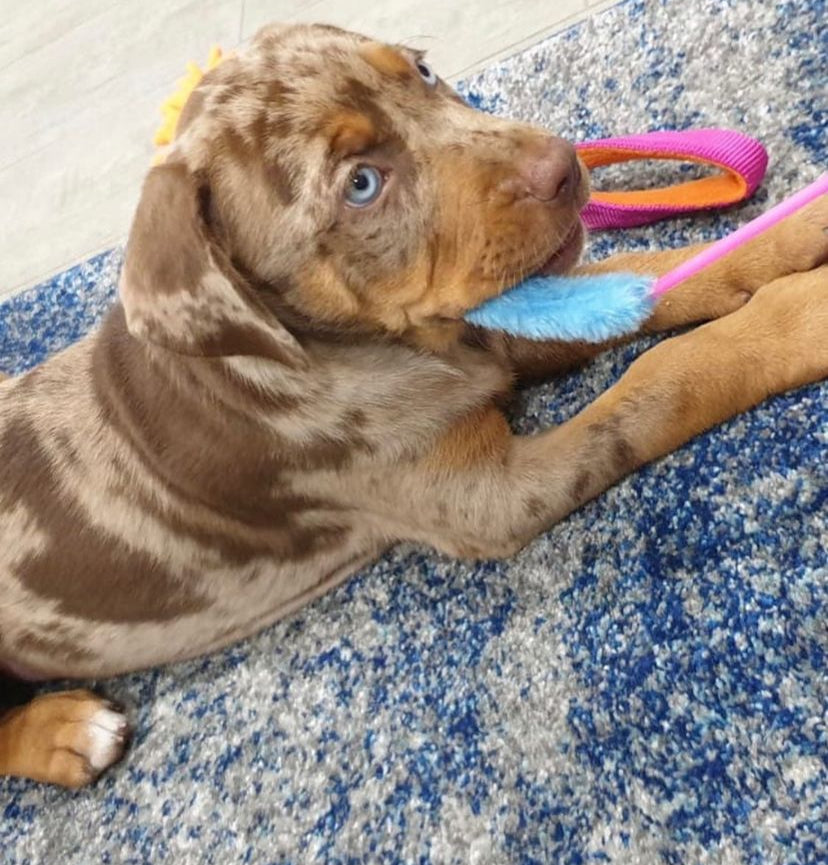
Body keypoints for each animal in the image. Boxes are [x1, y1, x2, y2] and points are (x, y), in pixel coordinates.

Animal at [1, 23, 828, 788]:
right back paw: (66, 732)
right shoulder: (489, 498)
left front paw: (795, 233)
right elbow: (660, 381)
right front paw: (796, 316)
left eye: (424, 72)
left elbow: (662, 275)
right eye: (361, 184)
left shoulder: (490, 331)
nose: (564, 166)